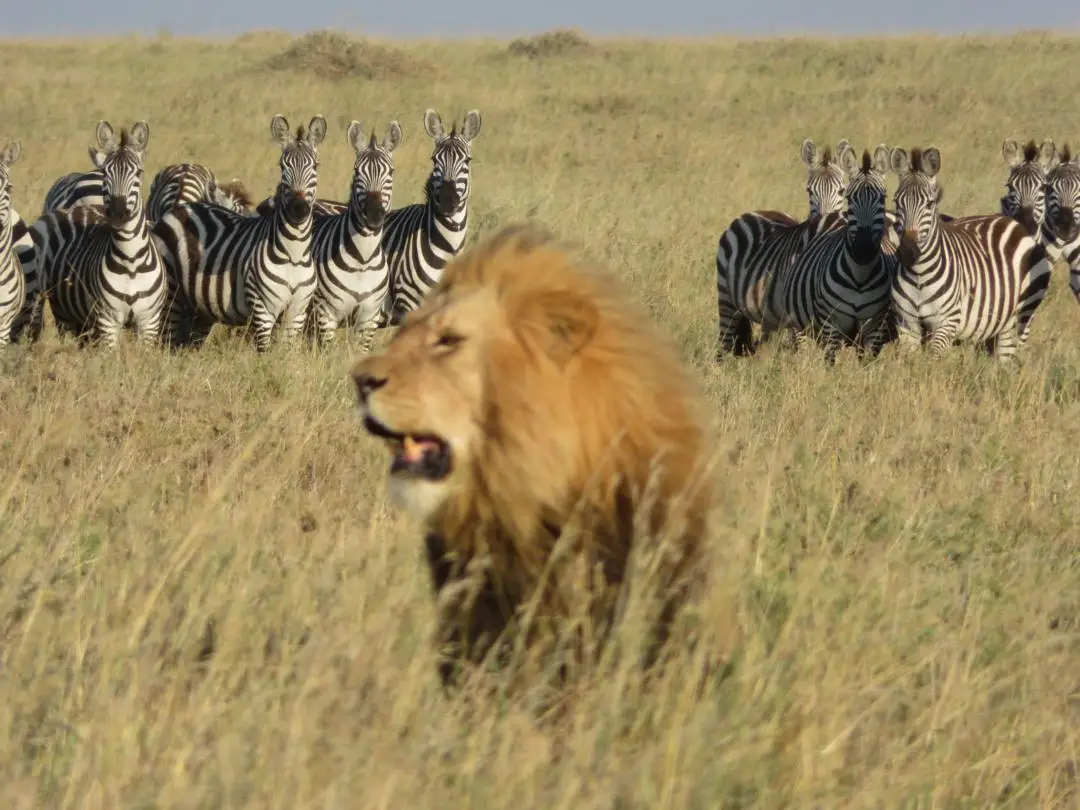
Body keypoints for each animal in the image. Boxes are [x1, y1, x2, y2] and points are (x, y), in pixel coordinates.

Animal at [30, 120, 166, 347]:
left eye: (138, 173)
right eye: (105, 173)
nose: (118, 214)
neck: (131, 261)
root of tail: (79, 208)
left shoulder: (149, 321)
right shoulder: (107, 321)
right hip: (62, 312)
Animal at [153, 114, 326, 352]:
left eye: (315, 166)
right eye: (283, 167)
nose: (298, 209)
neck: (295, 252)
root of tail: (182, 207)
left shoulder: (296, 313)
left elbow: (285, 355)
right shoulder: (263, 310)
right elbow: (266, 354)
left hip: (201, 307)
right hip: (172, 293)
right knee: (166, 341)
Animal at [309, 120, 400, 350]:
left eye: (391, 172)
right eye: (357, 171)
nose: (374, 215)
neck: (363, 260)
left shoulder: (369, 318)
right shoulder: (327, 314)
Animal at [714, 138, 851, 357]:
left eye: (842, 191)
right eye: (809, 191)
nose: (826, 220)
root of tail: (758, 211)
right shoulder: (795, 314)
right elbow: (803, 351)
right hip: (726, 299)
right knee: (724, 345)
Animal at [889, 145, 1052, 362]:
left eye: (930, 204)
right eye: (896, 201)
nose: (908, 252)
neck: (919, 275)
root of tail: (1014, 223)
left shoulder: (947, 322)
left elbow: (932, 360)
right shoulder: (907, 324)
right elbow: (910, 364)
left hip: (1020, 318)